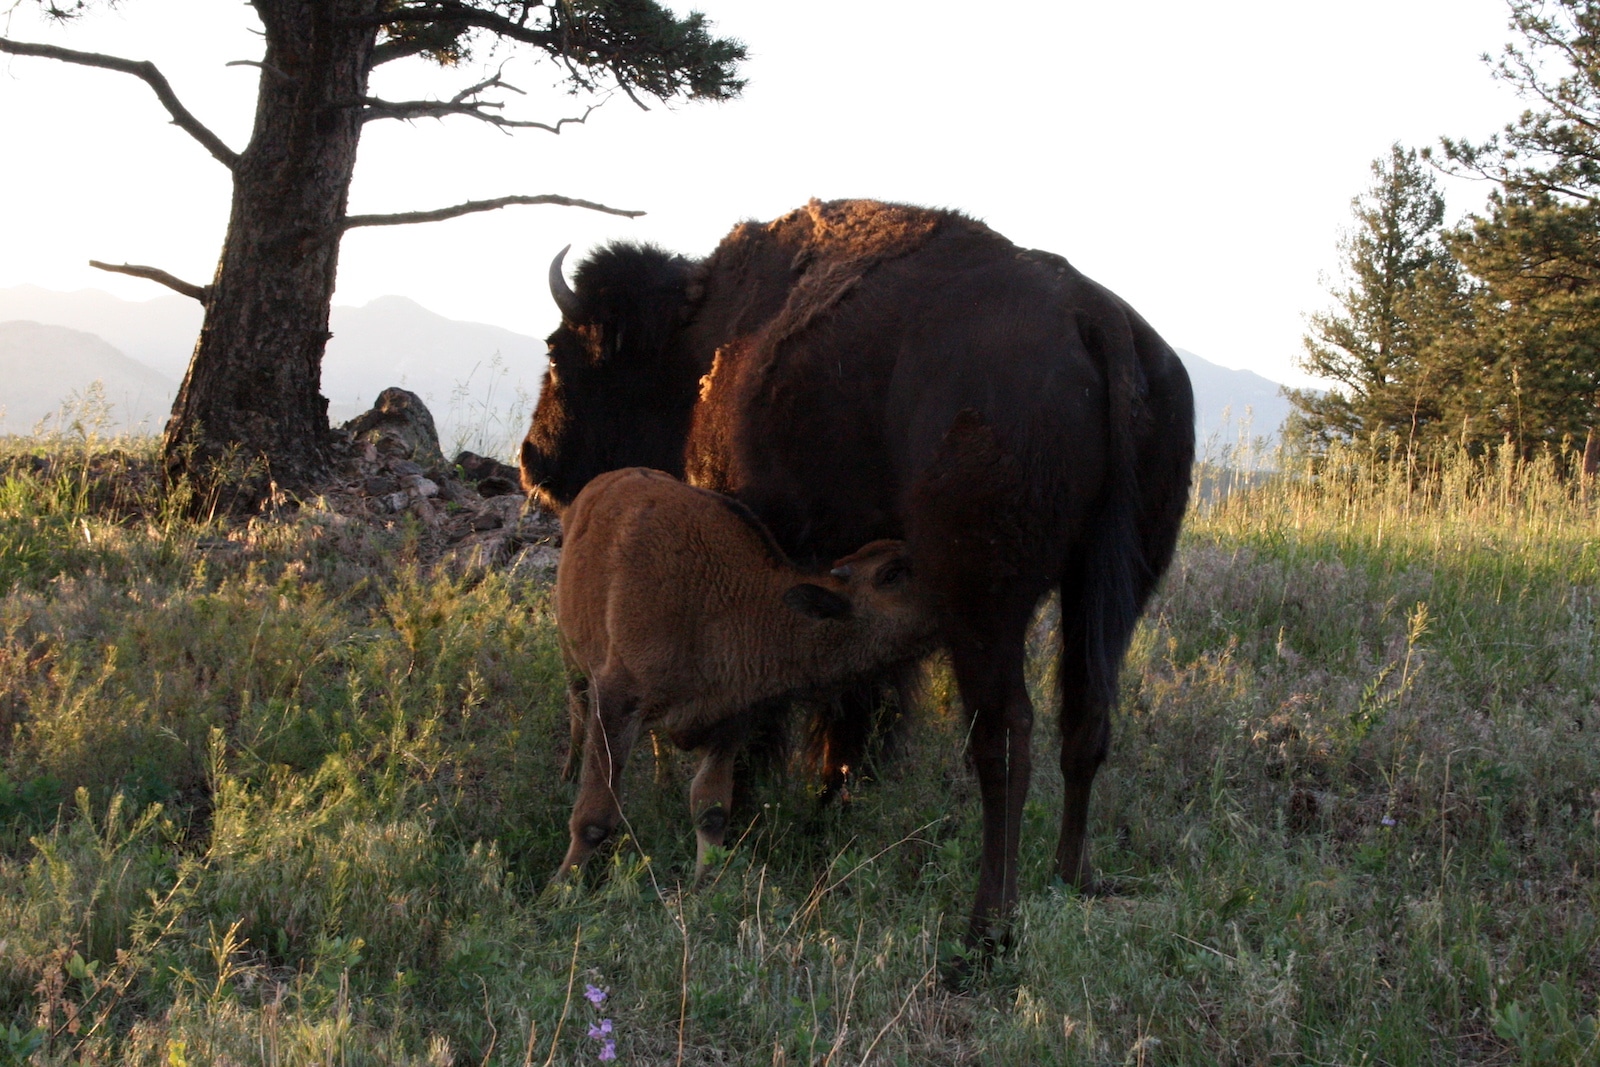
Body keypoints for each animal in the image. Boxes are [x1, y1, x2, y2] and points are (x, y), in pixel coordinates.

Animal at [553, 470, 934, 883]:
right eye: (891, 574)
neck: (729, 602)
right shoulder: (616, 700)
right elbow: (595, 815)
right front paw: (562, 886)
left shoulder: (730, 719)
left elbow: (711, 809)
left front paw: (705, 882)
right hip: (574, 661)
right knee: (577, 712)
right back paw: (568, 775)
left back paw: (664, 785)